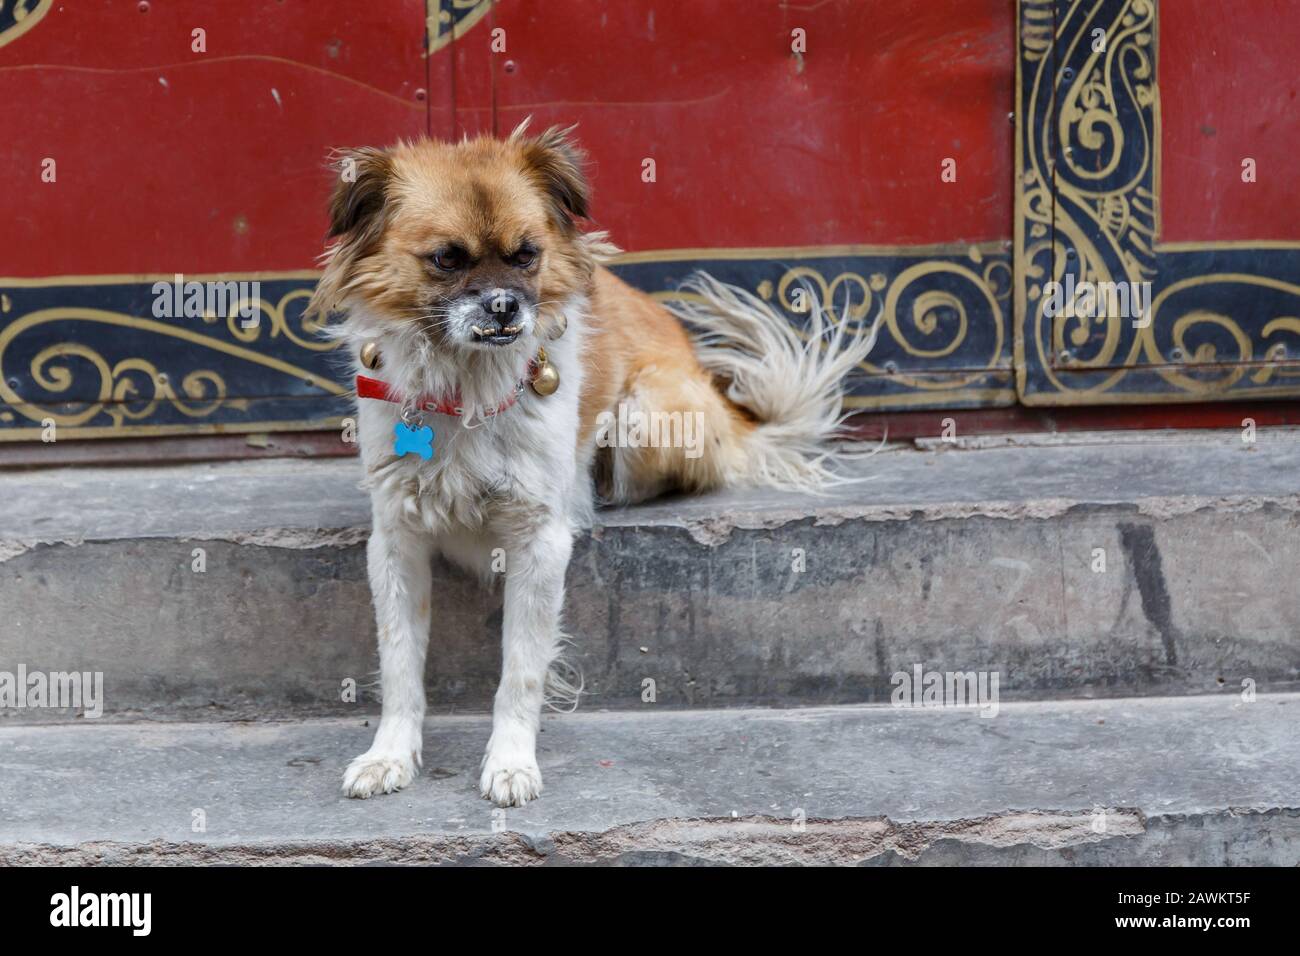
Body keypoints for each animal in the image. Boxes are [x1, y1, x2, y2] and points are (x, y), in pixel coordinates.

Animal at [304, 119, 873, 806]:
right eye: (446, 259)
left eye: (527, 254)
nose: (505, 307)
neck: (466, 386)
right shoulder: (396, 542)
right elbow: (399, 662)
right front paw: (390, 754)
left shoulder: (539, 541)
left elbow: (521, 670)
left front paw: (511, 762)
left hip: (647, 417)